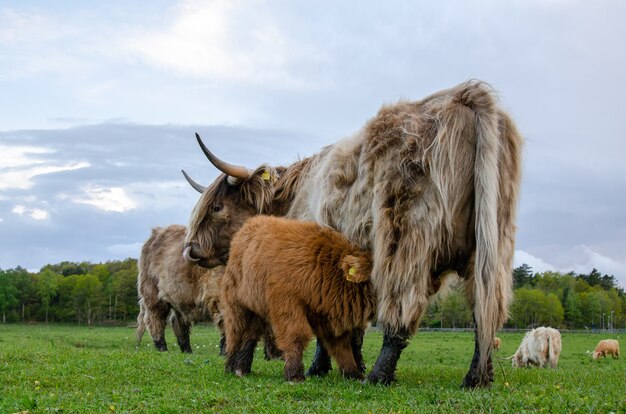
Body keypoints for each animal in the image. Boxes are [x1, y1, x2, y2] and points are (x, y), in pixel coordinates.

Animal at [221, 217, 372, 382]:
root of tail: (249, 223)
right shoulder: (287, 304)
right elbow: (296, 335)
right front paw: (294, 374)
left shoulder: (328, 316)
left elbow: (341, 346)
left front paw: (353, 373)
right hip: (236, 305)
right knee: (235, 333)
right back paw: (230, 367)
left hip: (257, 308)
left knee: (250, 335)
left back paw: (242, 368)